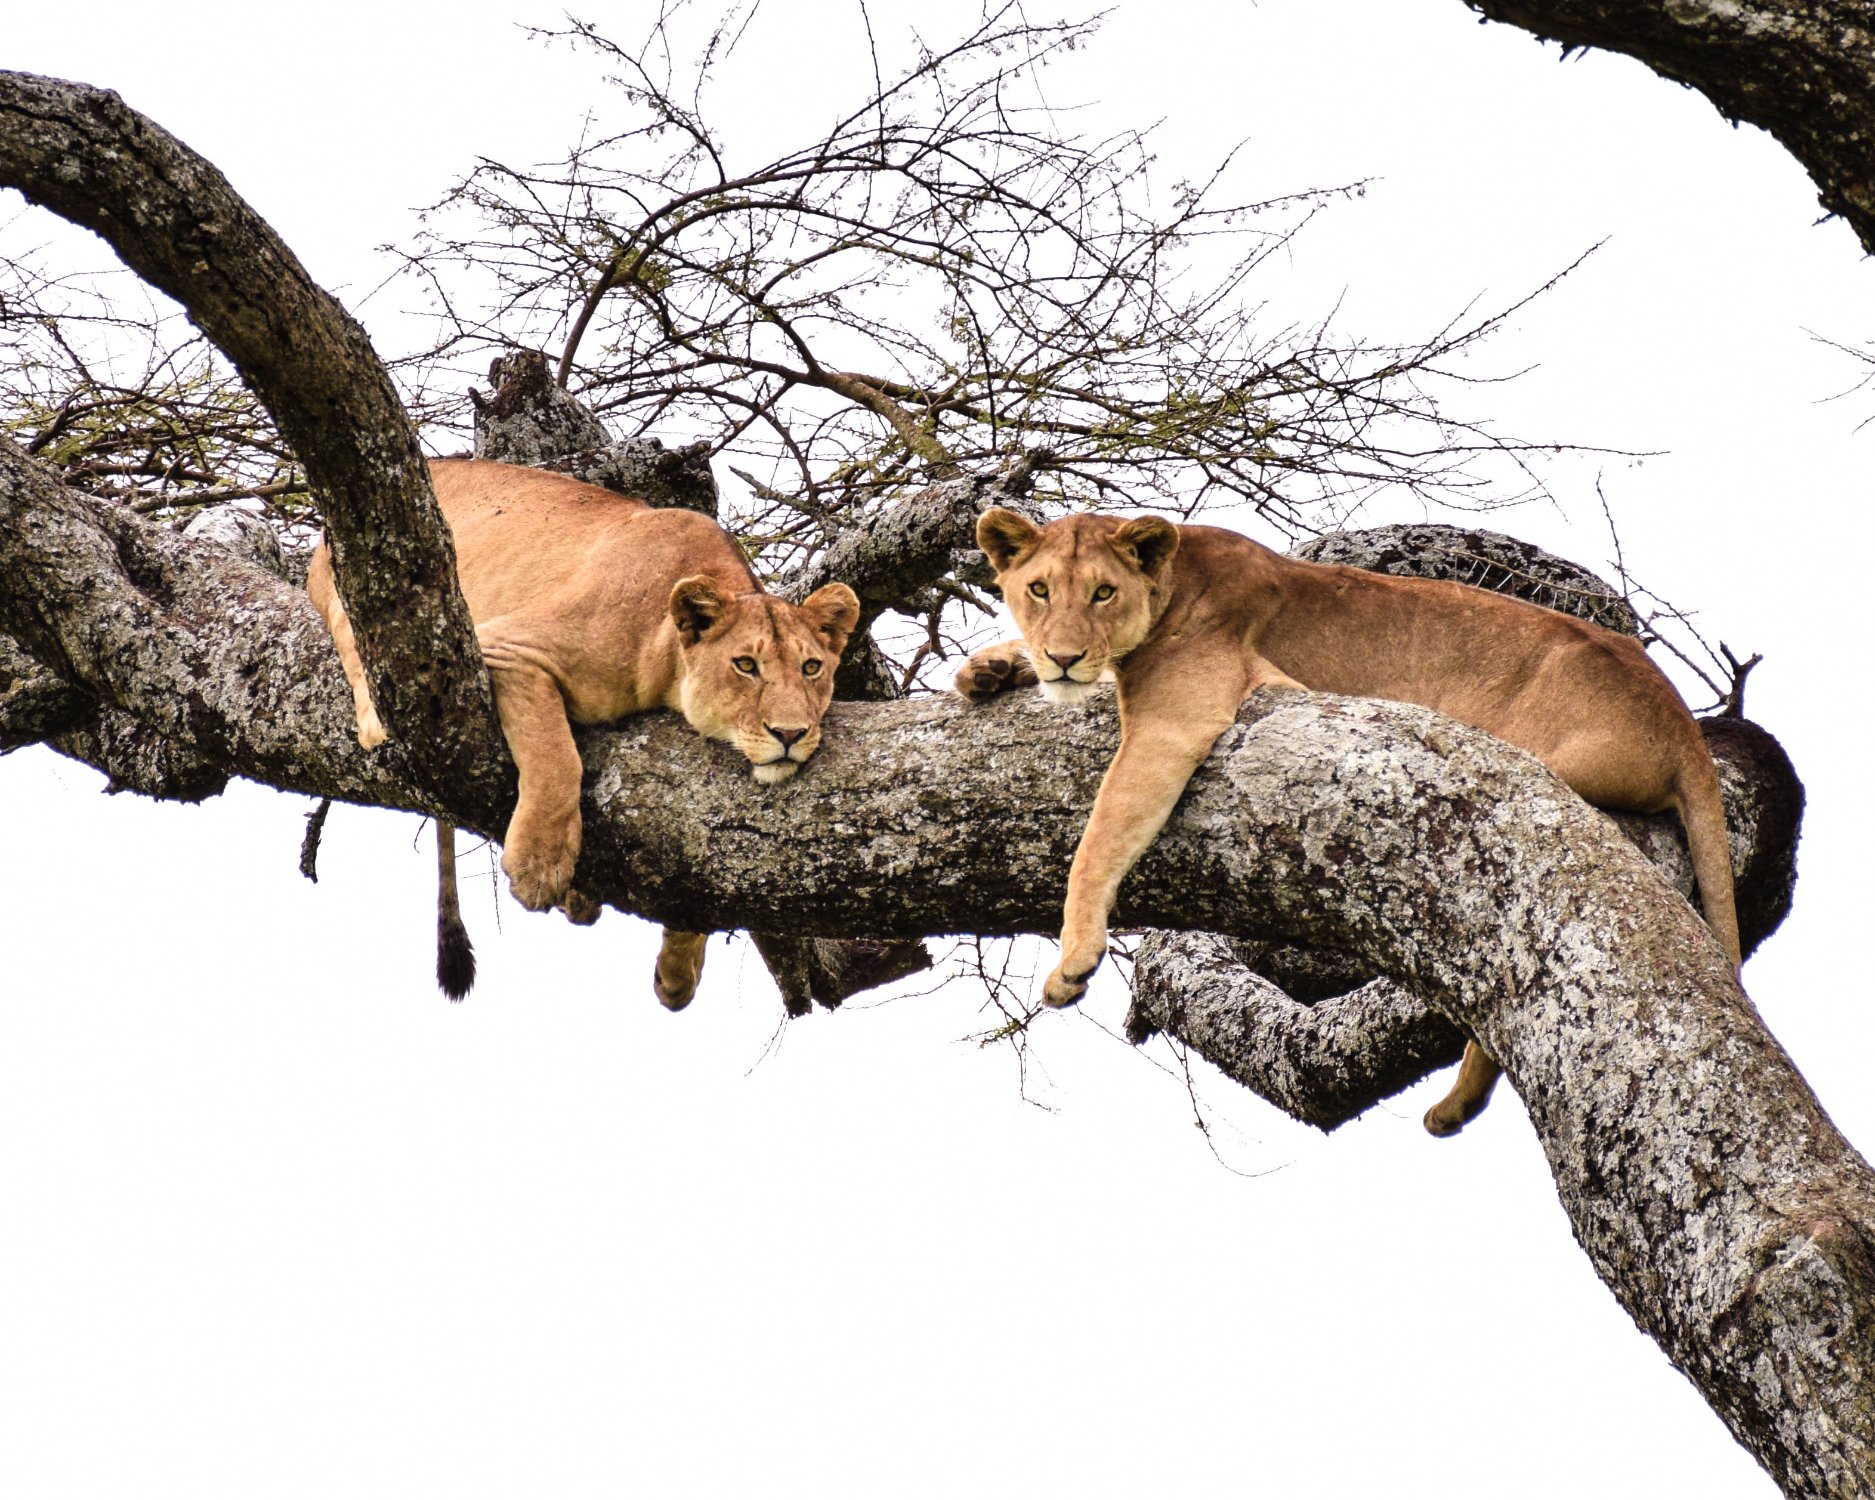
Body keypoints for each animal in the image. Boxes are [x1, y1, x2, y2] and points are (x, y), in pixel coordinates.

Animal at [308, 458, 859, 1006]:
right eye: (745, 665)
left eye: (811, 668)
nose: (791, 733)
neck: (667, 656)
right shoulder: (508, 647)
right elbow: (557, 759)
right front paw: (539, 863)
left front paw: (678, 968)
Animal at [957, 508, 1740, 1136]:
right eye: (1038, 590)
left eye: (1103, 592)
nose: (1063, 657)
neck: (1172, 579)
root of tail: (1681, 726)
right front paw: (988, 669)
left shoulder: (1176, 720)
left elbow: (1096, 839)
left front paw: (1073, 962)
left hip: (1532, 774)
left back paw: (1452, 1106)